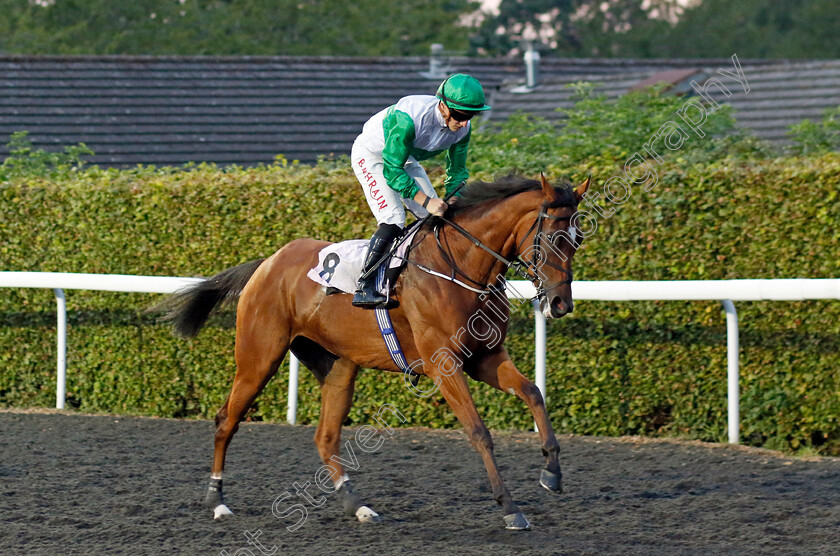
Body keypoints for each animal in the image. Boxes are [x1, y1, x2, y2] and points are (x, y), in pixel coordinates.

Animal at [158, 174, 592, 528]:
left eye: (578, 238)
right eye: (554, 237)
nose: (560, 305)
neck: (459, 265)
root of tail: (268, 262)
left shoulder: (484, 357)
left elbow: (533, 392)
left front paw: (552, 471)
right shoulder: (444, 365)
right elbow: (478, 431)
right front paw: (509, 507)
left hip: (337, 367)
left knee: (325, 436)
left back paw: (357, 505)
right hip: (258, 358)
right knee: (225, 421)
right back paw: (217, 500)